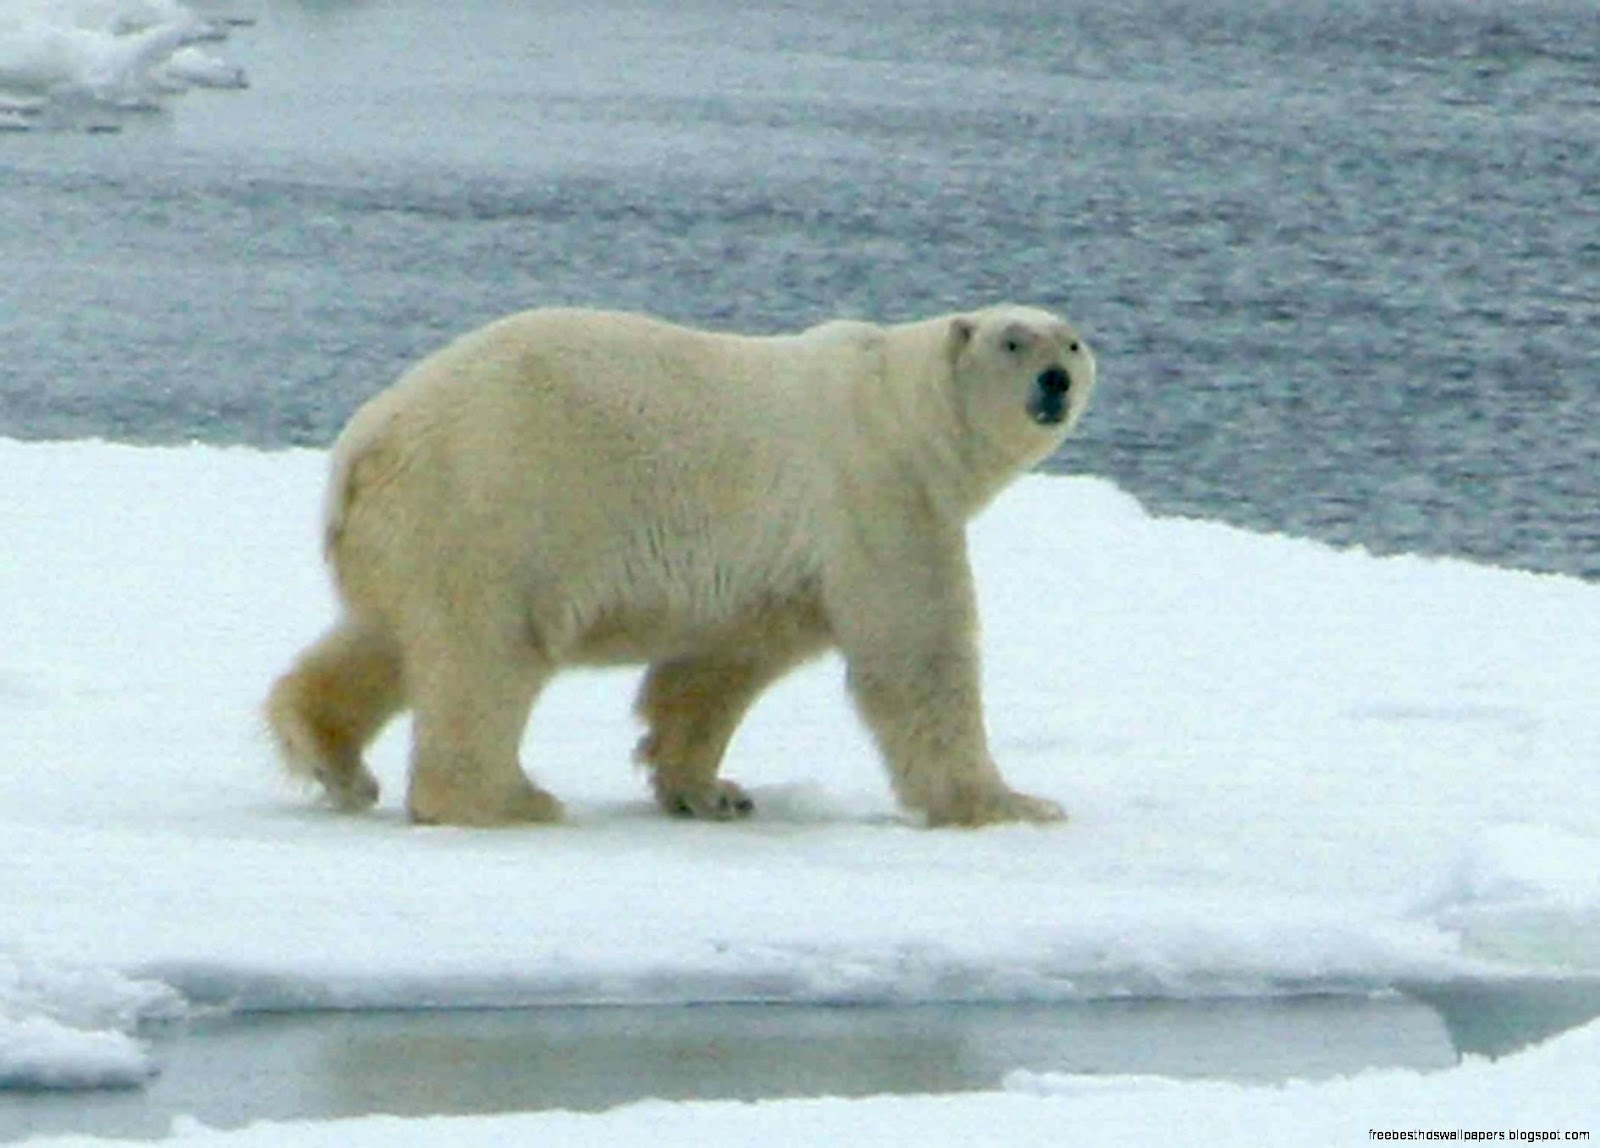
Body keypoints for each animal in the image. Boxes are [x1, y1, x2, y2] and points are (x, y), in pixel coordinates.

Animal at [265, 305, 1096, 828]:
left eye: (1072, 342)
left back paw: (331, 757)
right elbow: (917, 654)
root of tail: (366, 440)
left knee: (382, 636)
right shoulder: (876, 492)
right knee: (485, 653)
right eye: (1013, 341)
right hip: (494, 506)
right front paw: (1013, 804)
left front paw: (710, 789)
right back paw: (506, 800)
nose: (1055, 381)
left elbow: (722, 662)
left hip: (412, 526)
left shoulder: (778, 557)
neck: (902, 407)